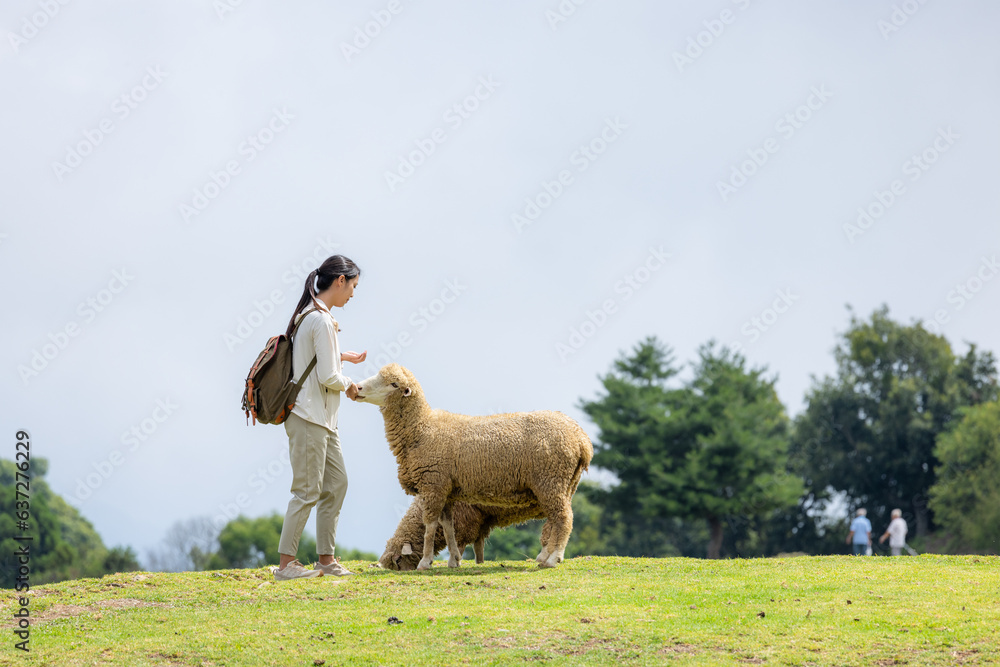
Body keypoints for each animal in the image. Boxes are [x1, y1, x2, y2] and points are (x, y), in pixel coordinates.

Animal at [378, 498, 548, 572]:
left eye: (398, 559)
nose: (407, 573)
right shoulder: (481, 520)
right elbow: (478, 546)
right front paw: (480, 563)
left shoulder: (464, 519)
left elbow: (458, 543)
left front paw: (454, 561)